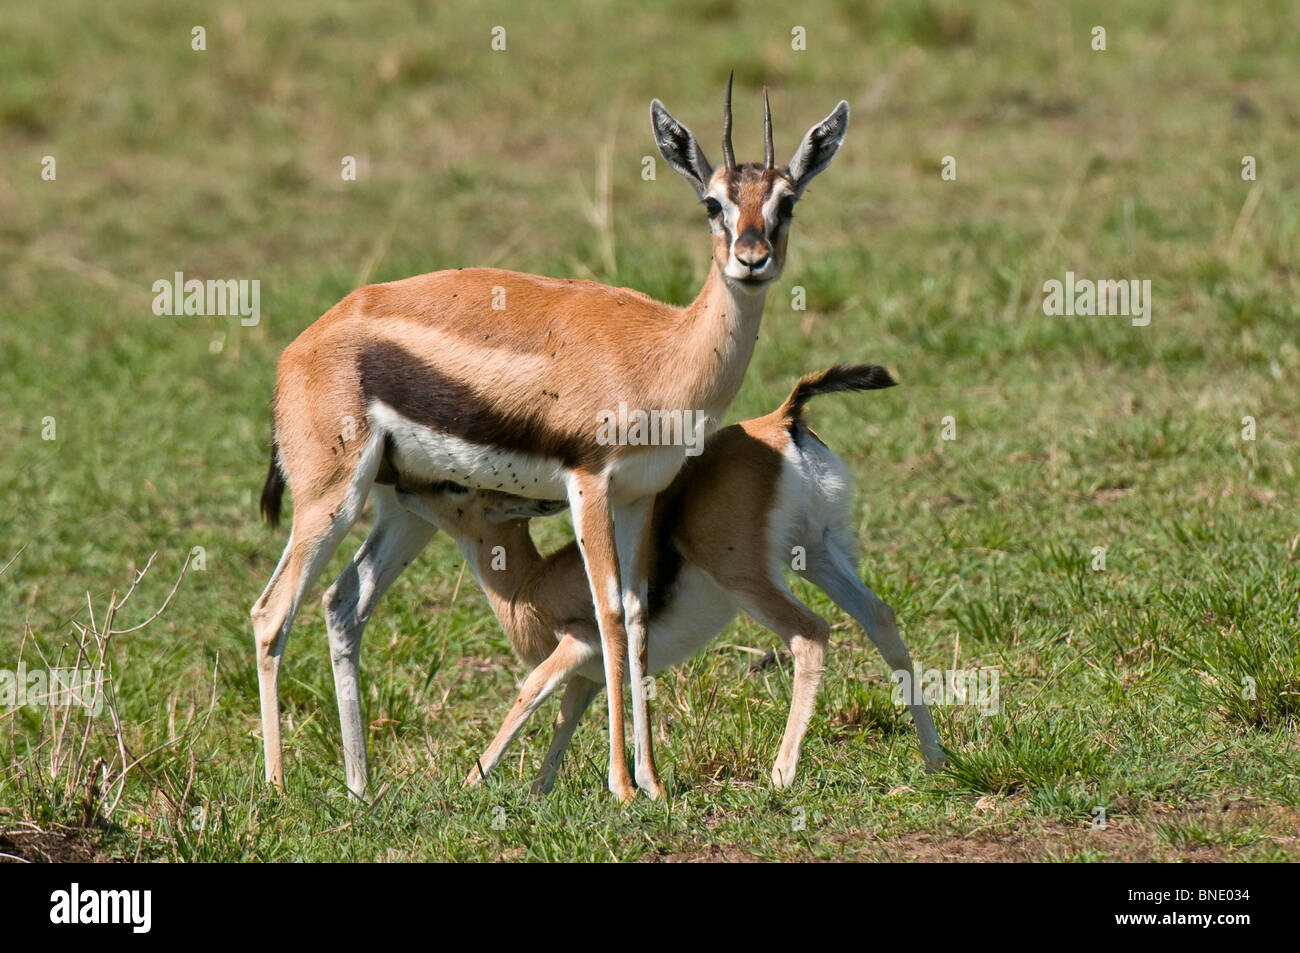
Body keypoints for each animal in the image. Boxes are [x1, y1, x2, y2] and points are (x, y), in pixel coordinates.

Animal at [251, 78, 852, 802]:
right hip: (329, 499)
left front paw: (651, 782)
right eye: (714, 202)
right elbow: (608, 616)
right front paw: (622, 786)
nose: (752, 260)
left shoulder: (640, 496)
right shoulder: (588, 486)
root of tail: (303, 344)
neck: (663, 351)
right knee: (270, 613)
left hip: (403, 509)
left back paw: (360, 788)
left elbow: (637, 615)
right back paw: (277, 788)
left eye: (787, 201)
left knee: (343, 606)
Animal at [393, 365, 947, 793]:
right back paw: (935, 759)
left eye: (454, 485)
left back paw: (780, 775)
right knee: (880, 617)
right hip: (819, 553)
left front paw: (469, 786)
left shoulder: (576, 645)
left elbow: (529, 692)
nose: (402, 486)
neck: (529, 586)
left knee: (810, 634)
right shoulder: (589, 678)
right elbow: (564, 722)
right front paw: (538, 792)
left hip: (748, 576)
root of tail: (784, 418)